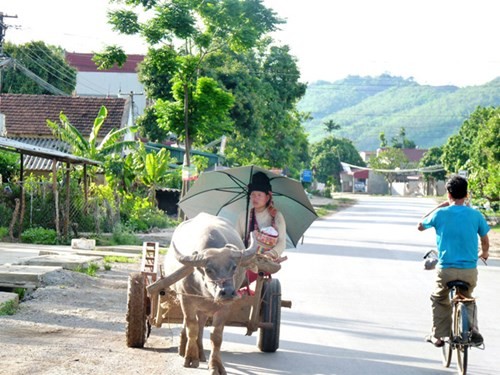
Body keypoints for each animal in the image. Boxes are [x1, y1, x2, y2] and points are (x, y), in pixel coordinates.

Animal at [165, 214, 258, 375]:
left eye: (234, 267)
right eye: (208, 270)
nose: (227, 292)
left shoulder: (225, 307)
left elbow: (216, 336)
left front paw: (215, 365)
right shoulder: (186, 300)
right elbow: (191, 328)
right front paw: (190, 358)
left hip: (203, 309)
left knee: (201, 325)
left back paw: (201, 353)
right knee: (190, 324)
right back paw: (185, 350)